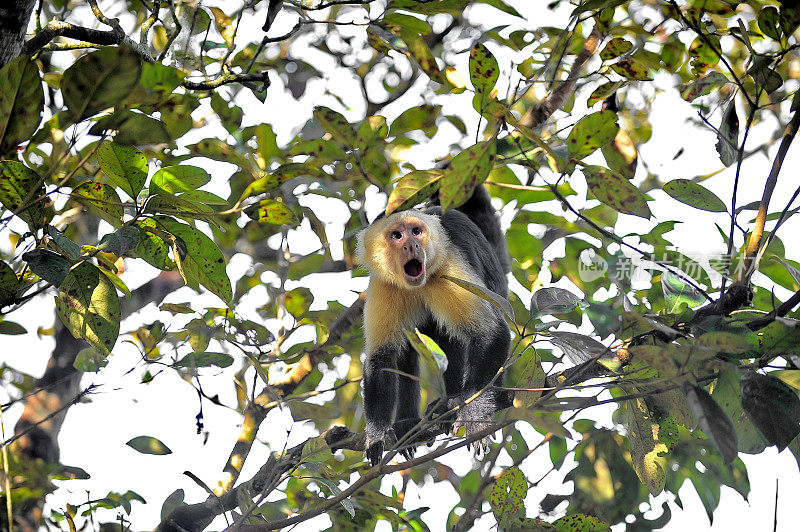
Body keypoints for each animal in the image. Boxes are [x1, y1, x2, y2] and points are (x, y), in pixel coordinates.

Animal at [358, 186, 512, 466]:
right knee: (410, 341)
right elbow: (381, 358)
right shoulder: (383, 284)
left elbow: (490, 334)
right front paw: (376, 434)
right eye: (396, 235)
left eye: (416, 231)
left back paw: (452, 401)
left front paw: (475, 416)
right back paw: (408, 421)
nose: (411, 244)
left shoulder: (446, 267)